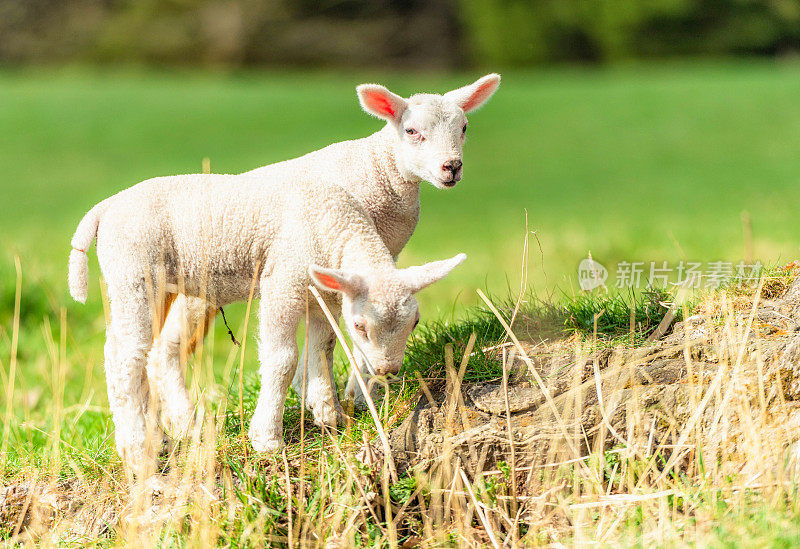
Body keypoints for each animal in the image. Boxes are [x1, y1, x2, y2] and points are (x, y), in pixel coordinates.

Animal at [69, 172, 468, 466]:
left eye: (414, 323)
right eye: (360, 327)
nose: (386, 370)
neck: (336, 223)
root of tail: (105, 207)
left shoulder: (322, 293)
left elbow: (322, 348)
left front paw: (329, 415)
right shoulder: (283, 282)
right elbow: (283, 359)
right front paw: (267, 438)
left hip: (158, 284)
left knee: (140, 352)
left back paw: (172, 432)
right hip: (134, 274)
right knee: (125, 358)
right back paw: (137, 450)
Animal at [145, 74, 504, 432]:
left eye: (464, 127)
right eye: (412, 131)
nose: (452, 167)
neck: (379, 172)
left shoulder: (379, 258)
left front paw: (347, 395)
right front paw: (344, 396)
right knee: (165, 350)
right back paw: (185, 424)